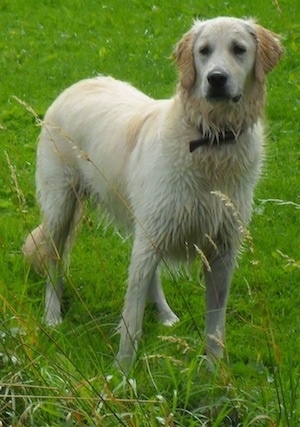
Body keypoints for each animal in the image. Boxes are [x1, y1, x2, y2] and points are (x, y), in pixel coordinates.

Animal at [23, 17, 282, 372]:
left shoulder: (222, 249)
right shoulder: (155, 234)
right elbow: (131, 320)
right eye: (204, 51)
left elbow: (215, 326)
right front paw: (122, 373)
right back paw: (52, 316)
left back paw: (166, 314)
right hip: (62, 206)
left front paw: (215, 374)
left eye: (239, 49)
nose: (216, 79)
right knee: (54, 261)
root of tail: (78, 84)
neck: (210, 140)